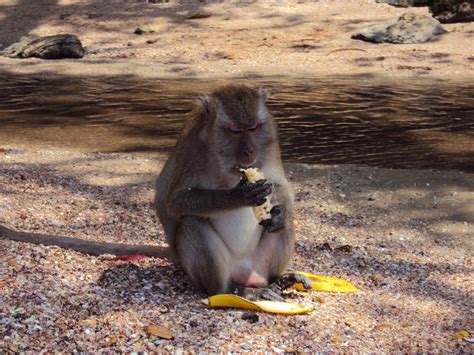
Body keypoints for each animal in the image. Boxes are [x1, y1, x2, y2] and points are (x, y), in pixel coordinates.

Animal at [156, 84, 312, 300]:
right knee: (191, 222)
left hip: (259, 263)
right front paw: (239, 196)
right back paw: (233, 291)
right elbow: (176, 201)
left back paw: (278, 279)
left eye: (253, 128)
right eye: (235, 131)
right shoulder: (193, 151)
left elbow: (279, 184)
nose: (249, 151)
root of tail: (244, 271)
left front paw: (280, 214)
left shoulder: (270, 144)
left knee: (285, 226)